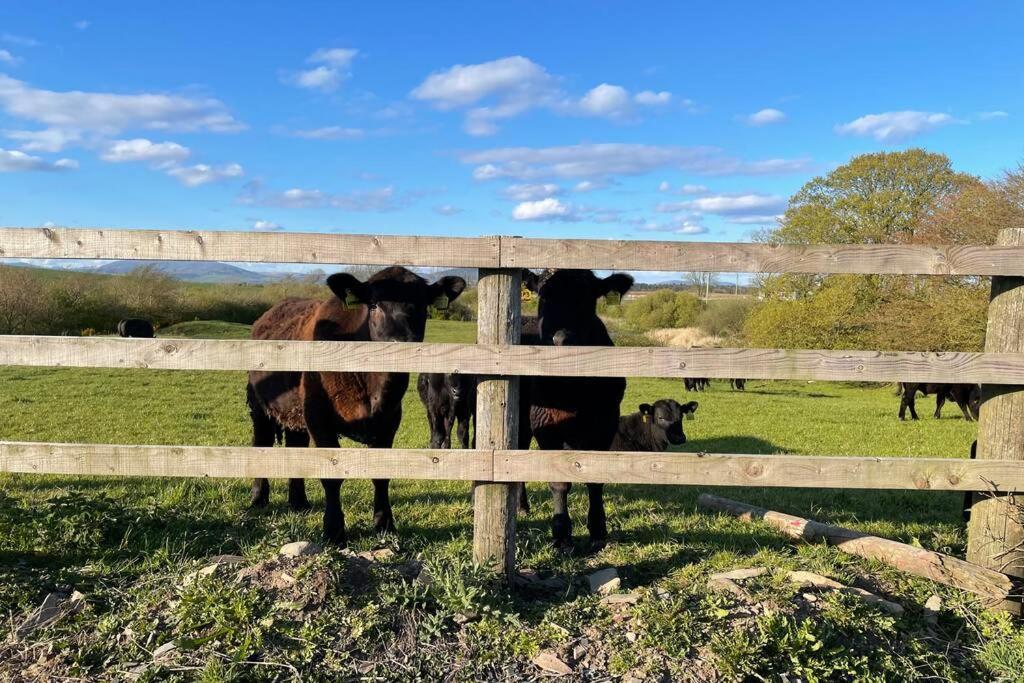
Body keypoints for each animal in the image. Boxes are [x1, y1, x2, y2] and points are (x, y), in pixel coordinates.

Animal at [247, 266, 468, 544]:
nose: (400, 342)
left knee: (296, 445)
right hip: (259, 405)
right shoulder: (319, 418)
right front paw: (333, 529)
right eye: (373, 305)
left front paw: (385, 524)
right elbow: (332, 476)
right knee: (261, 442)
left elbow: (381, 475)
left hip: (295, 414)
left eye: (422, 306)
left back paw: (299, 502)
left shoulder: (389, 422)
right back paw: (258, 497)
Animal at [524, 266, 634, 557]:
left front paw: (597, 532)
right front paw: (562, 536)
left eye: (588, 298)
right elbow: (559, 482)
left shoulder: (605, 421)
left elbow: (594, 478)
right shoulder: (544, 424)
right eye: (544, 296)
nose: (563, 338)